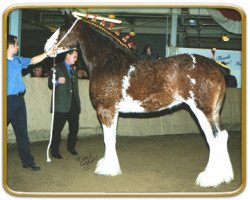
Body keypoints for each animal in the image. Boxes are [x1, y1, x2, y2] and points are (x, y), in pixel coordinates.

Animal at [45, 14, 234, 188]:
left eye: (63, 28)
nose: (47, 47)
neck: (108, 62)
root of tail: (216, 67)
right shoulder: (112, 112)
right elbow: (111, 137)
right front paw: (107, 164)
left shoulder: (106, 109)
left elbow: (108, 138)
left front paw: (108, 169)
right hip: (214, 112)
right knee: (222, 135)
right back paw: (225, 176)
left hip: (202, 111)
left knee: (213, 138)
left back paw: (209, 178)